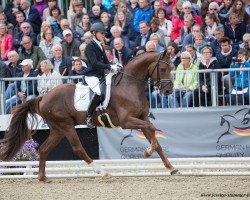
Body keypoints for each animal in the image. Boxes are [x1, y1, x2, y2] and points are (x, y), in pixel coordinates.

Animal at [0, 50, 180, 181]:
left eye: (172, 68)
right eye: (163, 69)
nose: (168, 91)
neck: (130, 85)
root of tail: (43, 97)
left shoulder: (142, 118)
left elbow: (156, 140)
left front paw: (172, 168)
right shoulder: (127, 121)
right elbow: (152, 130)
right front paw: (148, 152)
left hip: (58, 129)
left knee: (44, 149)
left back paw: (43, 177)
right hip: (66, 125)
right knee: (78, 148)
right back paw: (103, 172)